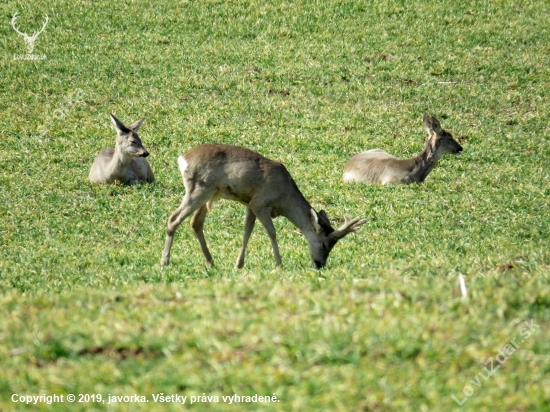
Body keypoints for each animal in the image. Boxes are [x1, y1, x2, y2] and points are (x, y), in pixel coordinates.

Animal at [162, 143, 368, 268]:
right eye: (325, 244)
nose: (320, 265)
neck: (284, 197)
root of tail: (182, 158)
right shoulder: (260, 203)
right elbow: (272, 232)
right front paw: (279, 263)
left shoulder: (250, 204)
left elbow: (247, 232)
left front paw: (239, 264)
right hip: (199, 189)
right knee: (173, 218)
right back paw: (165, 261)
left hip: (211, 193)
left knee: (195, 222)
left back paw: (211, 262)